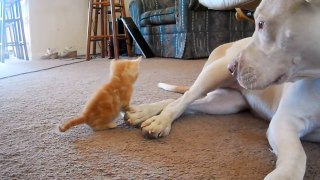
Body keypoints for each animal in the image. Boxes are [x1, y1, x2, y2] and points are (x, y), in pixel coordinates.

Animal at [124, 0, 320, 179]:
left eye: (261, 24)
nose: (232, 67)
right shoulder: (283, 123)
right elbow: (297, 154)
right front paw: (285, 174)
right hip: (213, 74)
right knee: (183, 99)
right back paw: (158, 120)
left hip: (225, 103)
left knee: (181, 102)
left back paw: (144, 113)